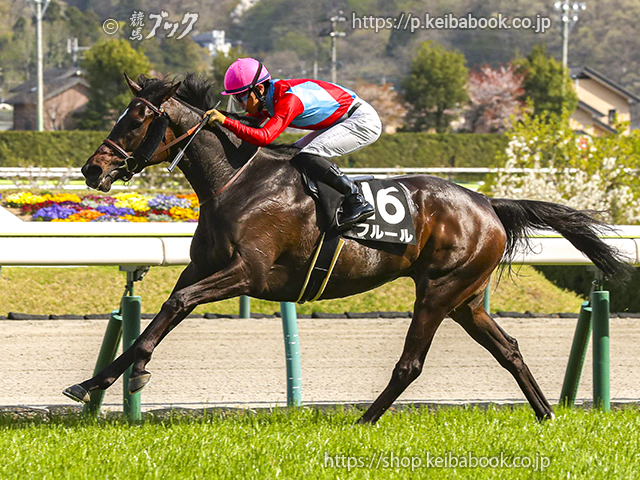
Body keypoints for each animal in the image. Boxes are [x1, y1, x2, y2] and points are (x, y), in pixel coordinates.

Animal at [64, 73, 631, 423]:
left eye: (137, 118)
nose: (93, 168)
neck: (235, 180)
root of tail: (487, 203)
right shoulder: (202, 267)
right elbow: (165, 309)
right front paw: (91, 383)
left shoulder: (248, 273)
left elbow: (176, 306)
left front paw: (136, 372)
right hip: (466, 298)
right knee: (508, 348)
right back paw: (546, 413)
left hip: (438, 291)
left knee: (411, 363)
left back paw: (365, 419)